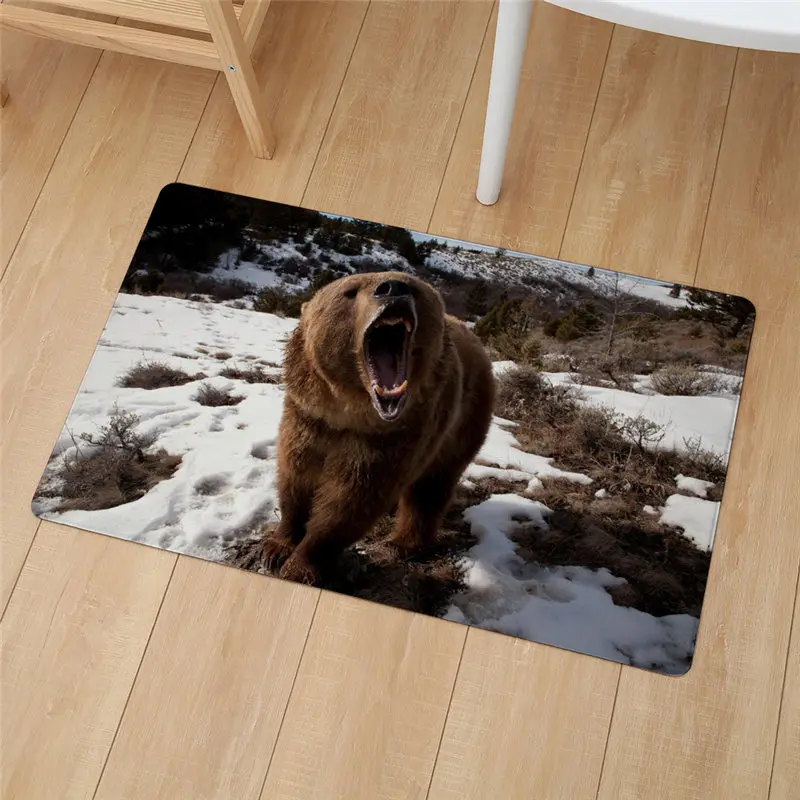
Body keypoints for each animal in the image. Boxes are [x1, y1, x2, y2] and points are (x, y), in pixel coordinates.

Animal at [260, 271, 495, 586]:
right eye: (349, 291)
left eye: (413, 287)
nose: (393, 288)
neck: (348, 411)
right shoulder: (307, 416)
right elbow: (296, 476)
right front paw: (276, 547)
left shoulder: (391, 435)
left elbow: (351, 498)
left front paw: (301, 565)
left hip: (463, 419)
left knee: (431, 487)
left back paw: (403, 543)